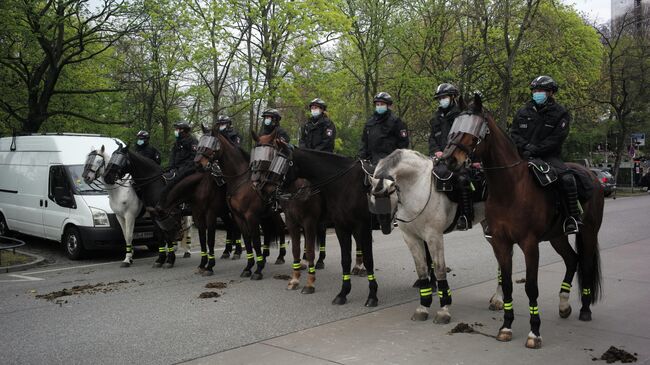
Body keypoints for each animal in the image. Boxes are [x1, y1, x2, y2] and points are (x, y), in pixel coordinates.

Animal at [251, 129, 378, 306]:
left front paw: (310, 283)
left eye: (271, 156)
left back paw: (359, 267)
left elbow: (310, 250)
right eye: (255, 156)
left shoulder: (309, 221)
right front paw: (295, 279)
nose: (259, 187)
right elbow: (296, 249)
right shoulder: (291, 222)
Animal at [370, 149, 496, 322]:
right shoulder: (411, 237)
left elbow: (439, 269)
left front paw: (444, 309)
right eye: (372, 196)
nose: (384, 226)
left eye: (390, 192)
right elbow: (421, 268)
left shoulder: (434, 236)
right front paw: (423, 307)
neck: (417, 187)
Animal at [440, 94, 604, 346]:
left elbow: (531, 287)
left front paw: (534, 331)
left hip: (588, 232)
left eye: (475, 129)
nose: (449, 160)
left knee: (584, 263)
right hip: (557, 236)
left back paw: (585, 309)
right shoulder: (501, 242)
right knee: (572, 260)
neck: (510, 188)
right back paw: (564, 304)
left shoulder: (529, 244)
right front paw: (506, 326)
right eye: (455, 125)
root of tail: (593, 176)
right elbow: (508, 285)